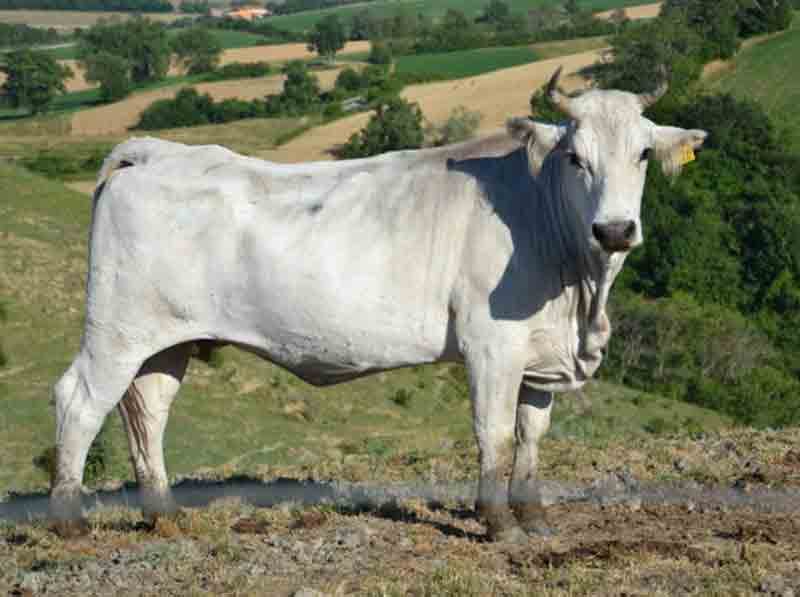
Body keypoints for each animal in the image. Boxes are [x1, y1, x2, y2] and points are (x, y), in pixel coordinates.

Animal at [50, 70, 708, 540]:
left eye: (643, 153)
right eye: (576, 157)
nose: (615, 229)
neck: (578, 291)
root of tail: (155, 151)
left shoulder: (541, 355)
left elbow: (531, 437)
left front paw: (534, 517)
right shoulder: (492, 344)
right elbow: (494, 433)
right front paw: (498, 524)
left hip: (169, 340)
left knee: (148, 411)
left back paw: (164, 515)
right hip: (116, 329)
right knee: (79, 401)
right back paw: (69, 521)